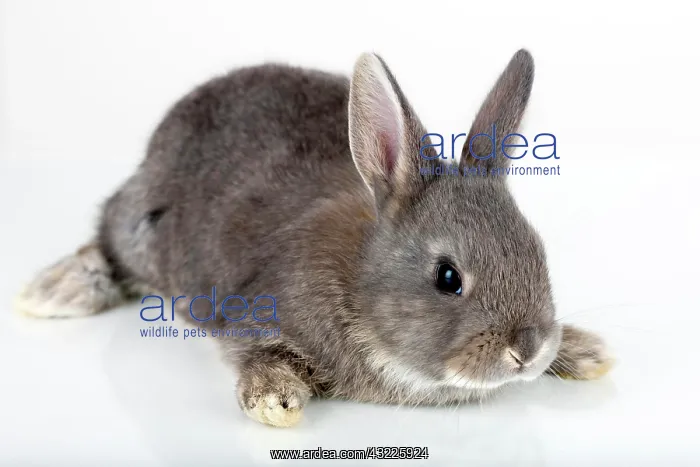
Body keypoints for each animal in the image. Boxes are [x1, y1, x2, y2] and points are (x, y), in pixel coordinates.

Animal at [15, 49, 613, 428]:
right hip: (141, 228)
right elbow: (255, 353)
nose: (526, 351)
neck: (359, 287)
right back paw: (56, 290)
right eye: (448, 278)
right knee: (106, 239)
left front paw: (584, 351)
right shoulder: (257, 312)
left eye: (538, 252)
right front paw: (274, 400)